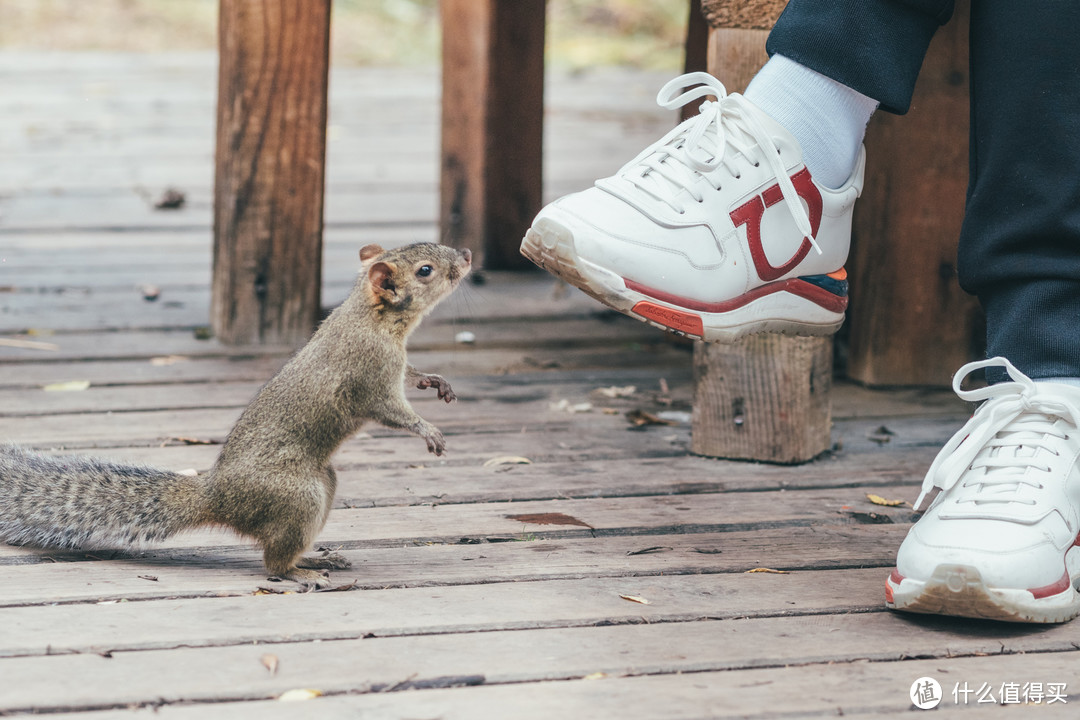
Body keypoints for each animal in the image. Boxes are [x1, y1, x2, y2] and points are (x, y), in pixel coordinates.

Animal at [1, 241, 473, 587]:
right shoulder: (370, 376)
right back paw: (301, 573)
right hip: (298, 496)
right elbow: (392, 410)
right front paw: (428, 430)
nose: (467, 256)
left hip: (321, 484)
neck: (374, 318)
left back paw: (320, 561)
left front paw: (433, 380)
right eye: (426, 270)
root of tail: (217, 496)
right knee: (272, 561)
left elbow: (411, 375)